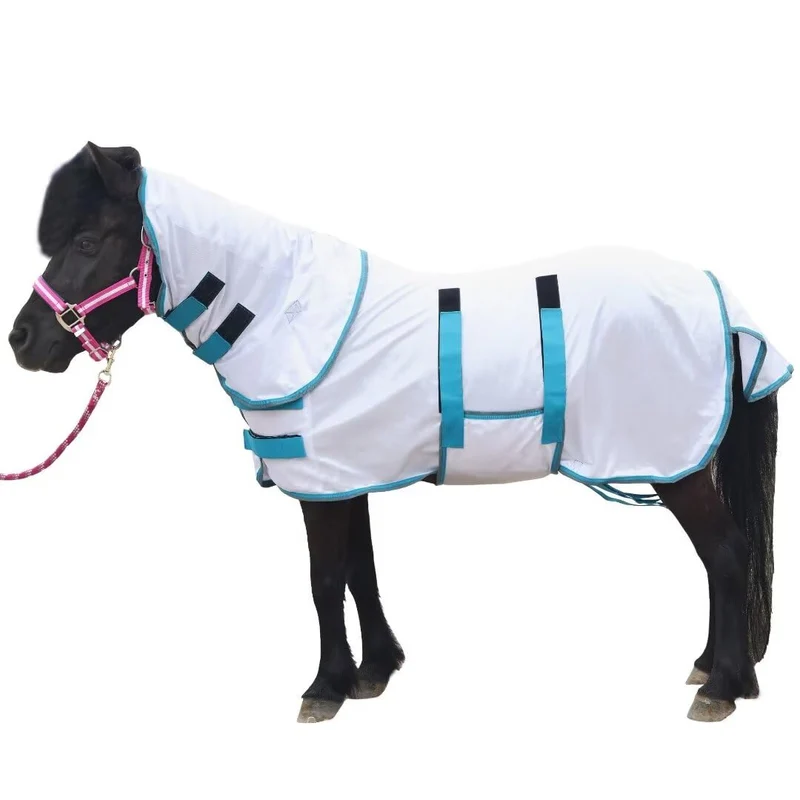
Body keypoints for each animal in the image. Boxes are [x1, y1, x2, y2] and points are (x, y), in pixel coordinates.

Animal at [8, 142, 792, 724]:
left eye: (86, 239)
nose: (22, 339)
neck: (283, 311)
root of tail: (717, 296)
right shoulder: (346, 476)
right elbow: (361, 571)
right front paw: (377, 670)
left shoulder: (320, 484)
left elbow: (325, 580)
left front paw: (325, 686)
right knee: (718, 561)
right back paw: (711, 667)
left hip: (677, 465)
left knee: (725, 554)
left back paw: (722, 686)